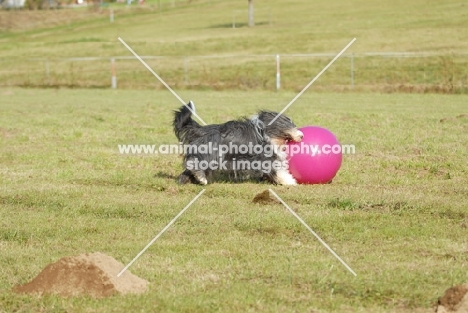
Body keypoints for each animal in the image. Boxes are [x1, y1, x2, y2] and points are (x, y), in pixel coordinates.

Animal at [172, 101, 304, 185]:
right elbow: (278, 172)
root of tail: (201, 129)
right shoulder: (264, 158)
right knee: (194, 163)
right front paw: (290, 181)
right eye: (291, 125)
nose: (302, 136)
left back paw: (188, 181)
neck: (265, 132)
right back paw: (201, 178)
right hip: (211, 153)